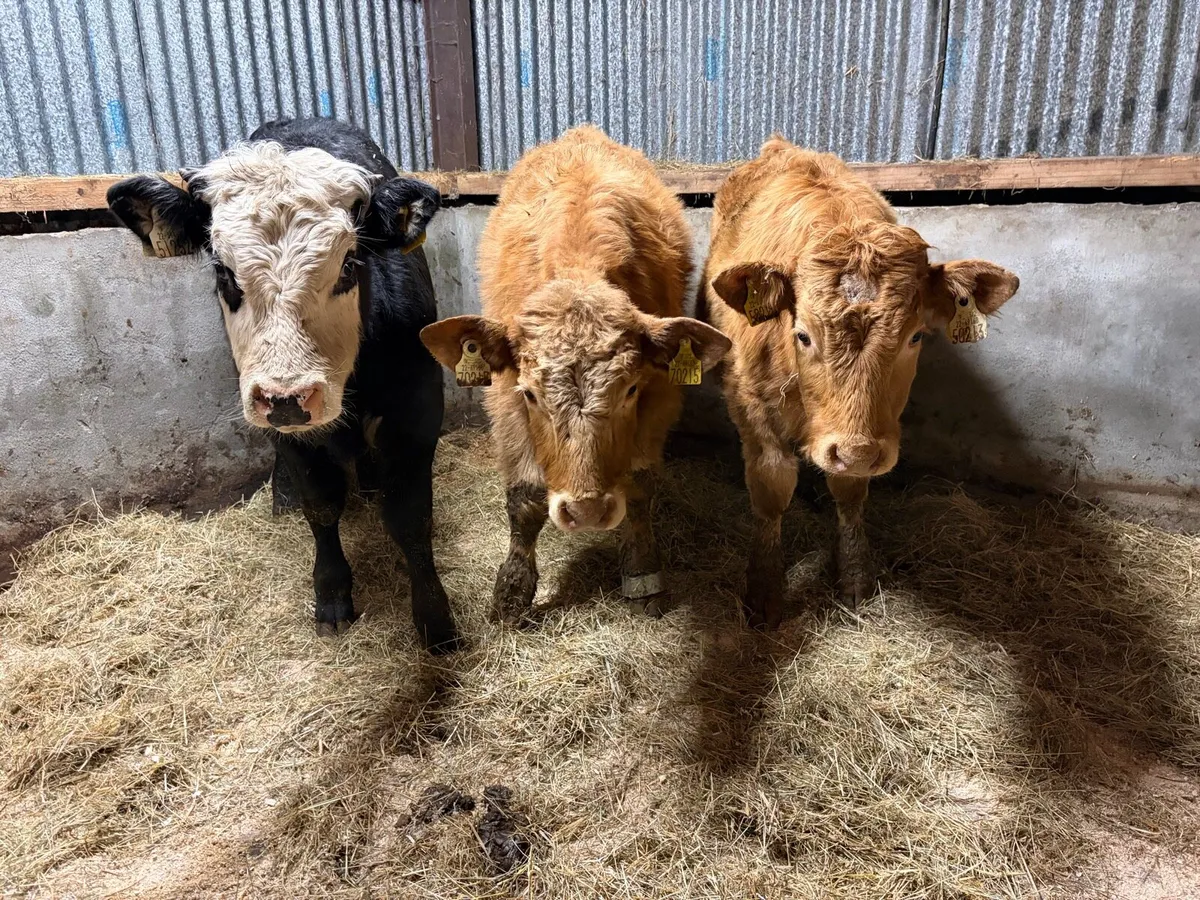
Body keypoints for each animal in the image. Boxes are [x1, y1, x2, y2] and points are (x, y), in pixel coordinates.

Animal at [106, 117, 460, 653]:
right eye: (222, 270)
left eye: (350, 264)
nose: (289, 396)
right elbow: (322, 503)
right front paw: (331, 595)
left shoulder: (417, 410)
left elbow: (409, 516)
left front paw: (436, 623)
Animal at [420, 126, 731, 623]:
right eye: (532, 395)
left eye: (630, 390)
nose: (585, 512)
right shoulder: (505, 397)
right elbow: (526, 497)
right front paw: (513, 589)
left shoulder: (660, 395)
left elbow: (639, 486)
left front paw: (643, 574)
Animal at [703, 137, 1019, 629]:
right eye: (803, 334)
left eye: (915, 336)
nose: (855, 452)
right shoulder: (753, 409)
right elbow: (771, 490)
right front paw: (764, 593)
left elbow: (850, 493)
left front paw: (854, 576)